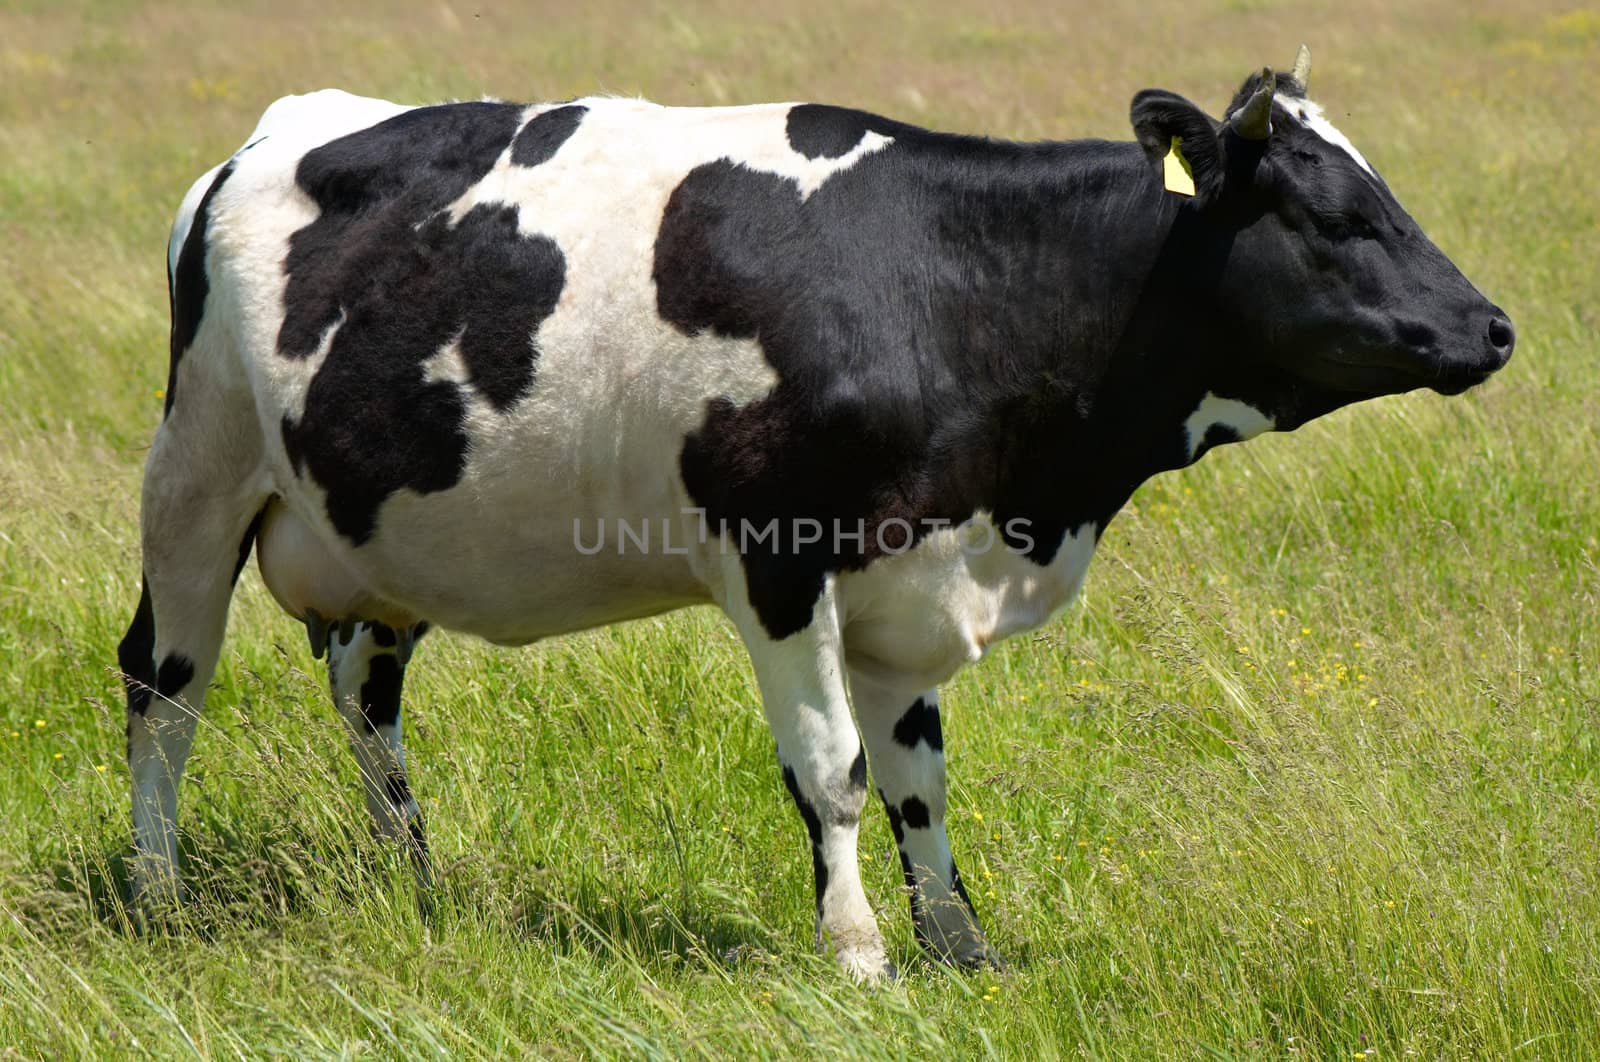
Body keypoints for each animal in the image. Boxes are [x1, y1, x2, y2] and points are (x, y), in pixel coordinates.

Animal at [124, 49, 1510, 978]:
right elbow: (834, 773)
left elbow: (919, 785)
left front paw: (961, 949)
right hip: (196, 469)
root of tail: (281, 130)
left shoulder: (912, 577)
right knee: (164, 683)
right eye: (1336, 216)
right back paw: (155, 890)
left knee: (366, 699)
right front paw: (857, 954)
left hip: (369, 541)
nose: (1491, 326)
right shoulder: (777, 560)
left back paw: (413, 884)